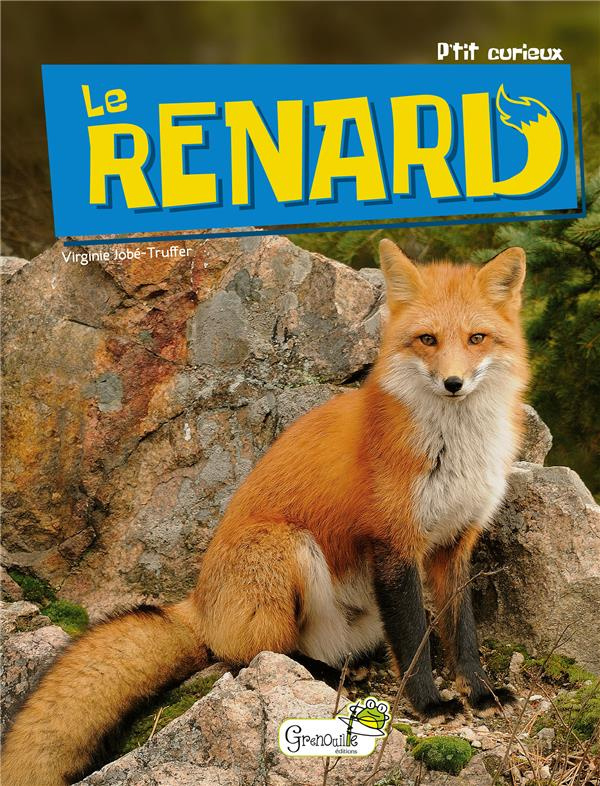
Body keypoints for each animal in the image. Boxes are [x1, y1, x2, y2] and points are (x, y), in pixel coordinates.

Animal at [2, 239, 528, 786]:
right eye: (427, 339)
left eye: (476, 338)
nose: (453, 382)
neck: (455, 449)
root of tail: (198, 602)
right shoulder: (394, 544)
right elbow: (414, 641)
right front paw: (428, 704)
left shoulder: (455, 544)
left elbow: (463, 633)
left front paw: (481, 692)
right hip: (285, 546)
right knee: (255, 655)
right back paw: (320, 675)